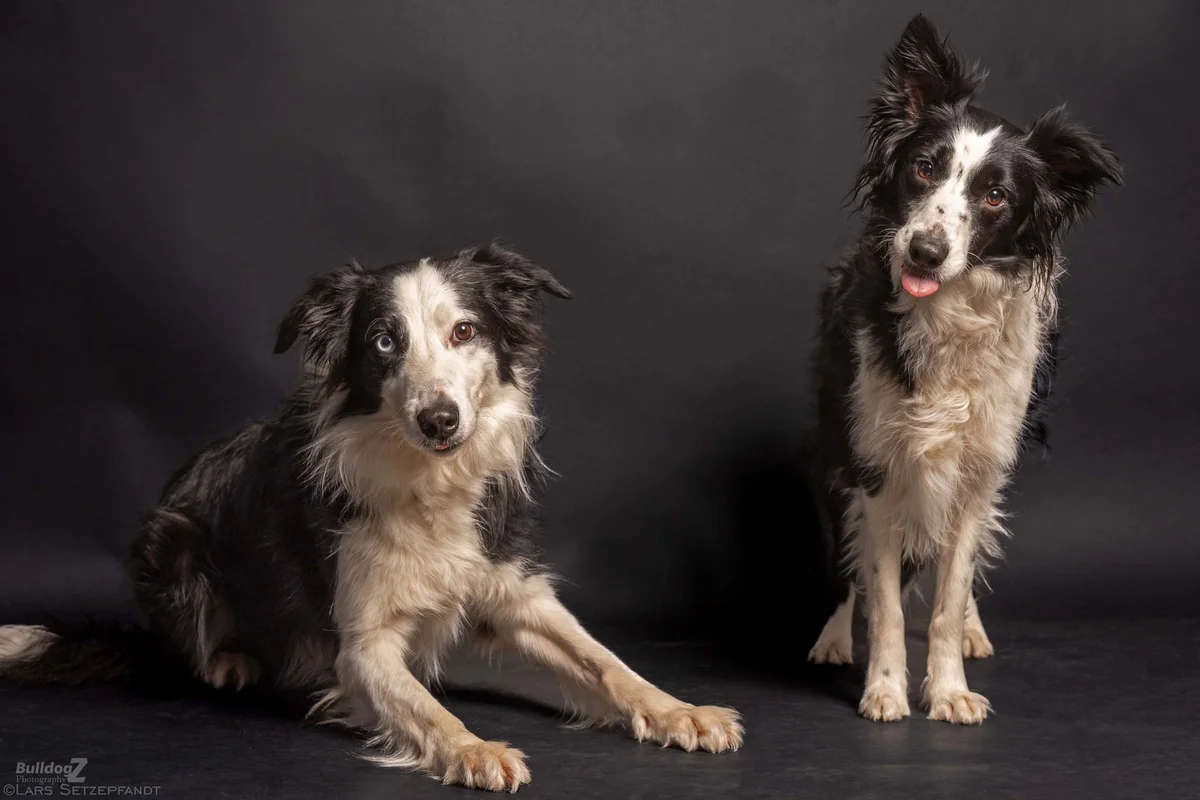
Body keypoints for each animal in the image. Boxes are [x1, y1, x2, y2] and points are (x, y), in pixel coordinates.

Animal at [0, 244, 743, 791]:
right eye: (385, 343)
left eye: (465, 330)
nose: (439, 419)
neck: (429, 482)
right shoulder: (361, 648)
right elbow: (426, 710)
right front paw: (473, 749)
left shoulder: (513, 590)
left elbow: (607, 663)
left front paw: (681, 711)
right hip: (171, 546)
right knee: (185, 649)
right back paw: (231, 659)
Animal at [805, 15, 1122, 725]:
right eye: (923, 169)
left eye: (997, 196)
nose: (925, 249)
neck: (947, 316)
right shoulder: (877, 468)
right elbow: (885, 598)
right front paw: (885, 688)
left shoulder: (980, 467)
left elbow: (949, 595)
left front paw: (947, 689)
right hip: (837, 452)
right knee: (847, 565)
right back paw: (835, 638)